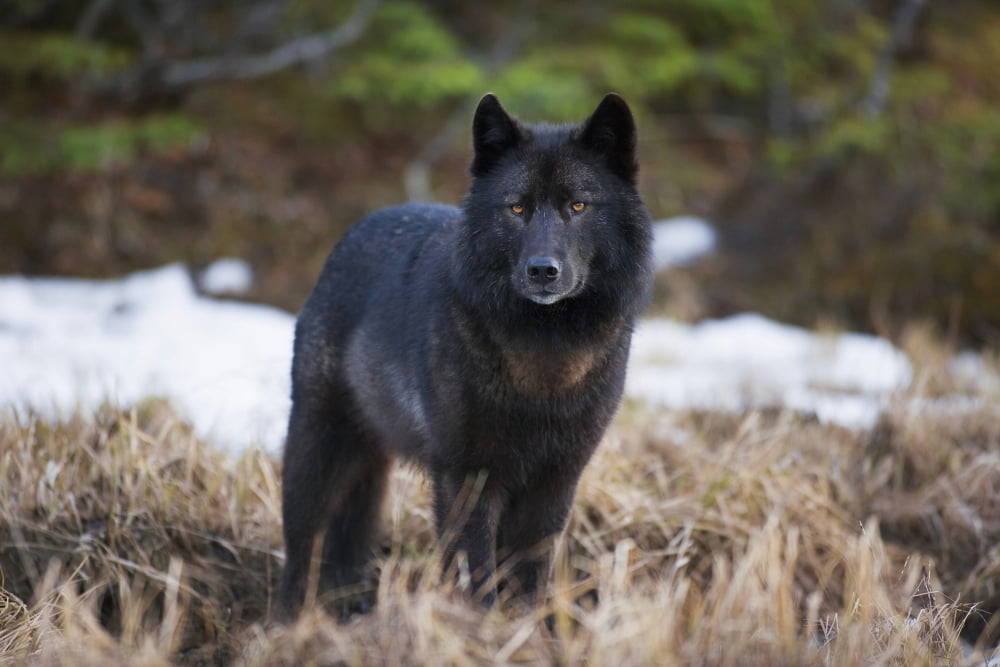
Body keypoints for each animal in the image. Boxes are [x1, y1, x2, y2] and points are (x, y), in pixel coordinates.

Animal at [274, 93, 652, 619]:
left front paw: (524, 629)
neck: (544, 360)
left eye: (578, 205)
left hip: (368, 469)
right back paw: (287, 624)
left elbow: (529, 575)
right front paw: (479, 627)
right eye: (516, 207)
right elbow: (475, 573)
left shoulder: (555, 482)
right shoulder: (467, 479)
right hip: (317, 452)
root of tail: (355, 229)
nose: (543, 271)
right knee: (299, 548)